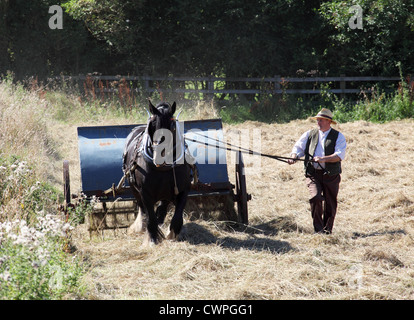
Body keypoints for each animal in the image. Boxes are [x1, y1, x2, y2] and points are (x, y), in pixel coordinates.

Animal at [122, 100, 192, 245]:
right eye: (153, 125)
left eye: (172, 127)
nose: (160, 154)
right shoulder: (145, 193)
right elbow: (150, 217)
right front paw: (153, 239)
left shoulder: (184, 190)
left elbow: (177, 217)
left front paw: (172, 234)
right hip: (134, 189)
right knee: (143, 210)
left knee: (162, 207)